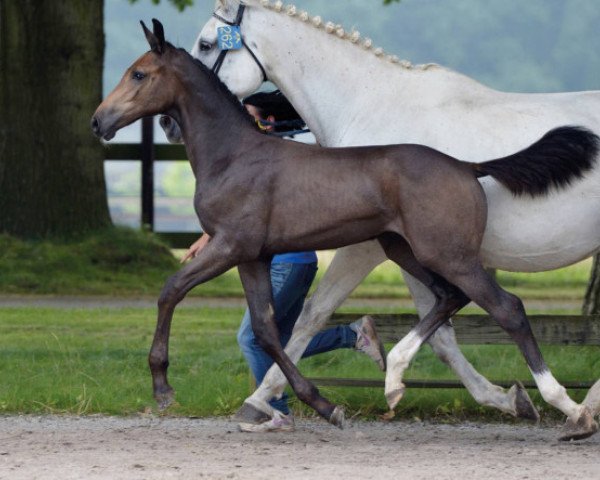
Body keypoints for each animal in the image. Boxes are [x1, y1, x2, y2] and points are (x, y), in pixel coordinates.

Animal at [91, 19, 596, 438]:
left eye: (139, 74)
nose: (99, 121)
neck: (234, 155)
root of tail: (467, 167)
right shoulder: (253, 256)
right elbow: (268, 330)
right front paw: (321, 405)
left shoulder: (230, 245)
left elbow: (172, 291)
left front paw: (162, 387)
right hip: (406, 250)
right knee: (449, 299)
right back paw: (395, 378)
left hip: (448, 254)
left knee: (507, 308)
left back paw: (570, 411)